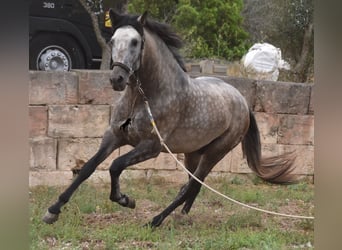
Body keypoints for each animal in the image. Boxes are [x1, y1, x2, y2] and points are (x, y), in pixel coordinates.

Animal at [42, 9, 296, 228]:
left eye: (135, 42)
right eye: (112, 40)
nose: (117, 79)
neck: (143, 97)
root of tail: (242, 102)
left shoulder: (151, 147)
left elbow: (115, 166)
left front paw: (126, 200)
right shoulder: (114, 136)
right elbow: (88, 168)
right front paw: (53, 210)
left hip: (215, 153)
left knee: (192, 185)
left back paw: (156, 220)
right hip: (193, 153)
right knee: (191, 187)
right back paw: (181, 216)